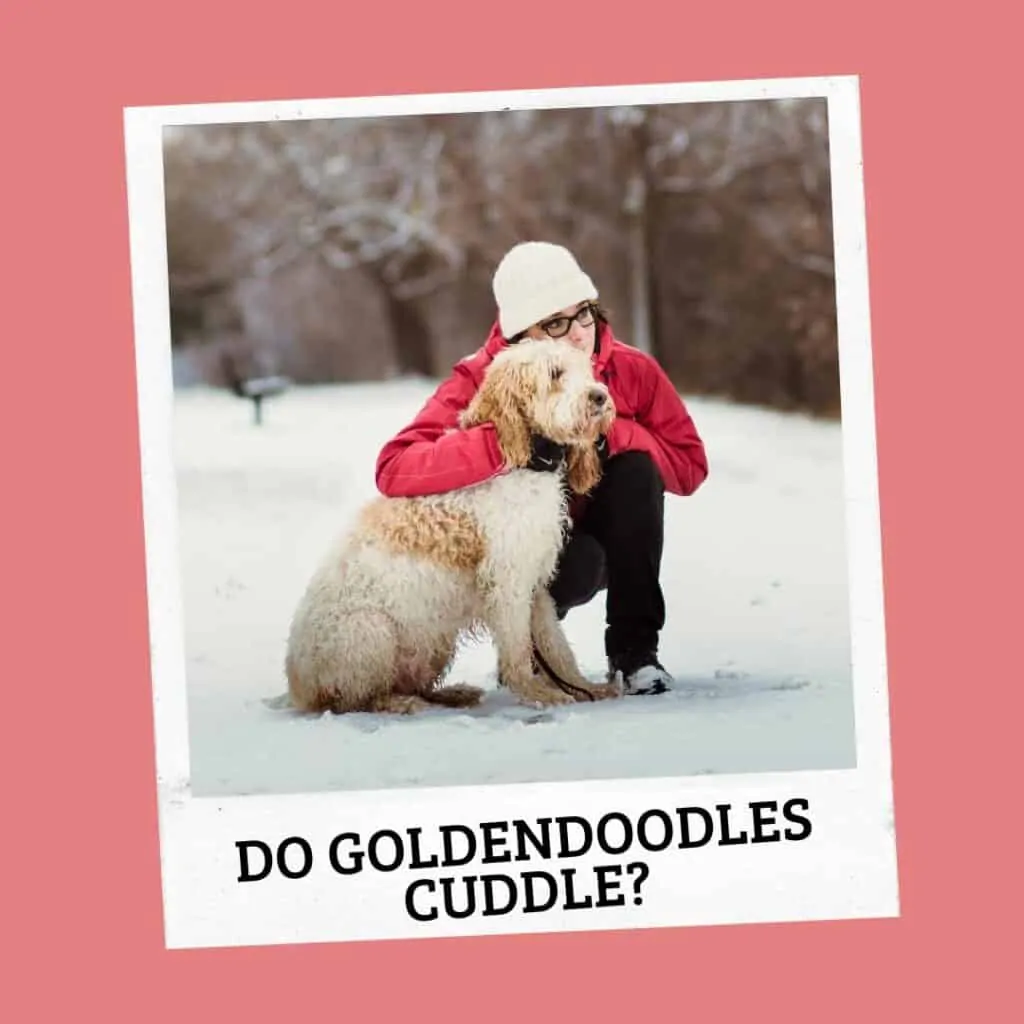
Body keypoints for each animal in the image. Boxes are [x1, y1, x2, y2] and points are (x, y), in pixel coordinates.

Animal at [286, 339, 622, 716]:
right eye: (554, 373)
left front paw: (582, 686)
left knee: (412, 684)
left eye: (585, 369)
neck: (523, 459)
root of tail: (299, 688)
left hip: (433, 641)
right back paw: (400, 702)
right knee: (358, 700)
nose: (599, 397)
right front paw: (539, 693)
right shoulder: (507, 581)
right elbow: (519, 648)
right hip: (371, 631)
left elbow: (554, 644)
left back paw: (452, 693)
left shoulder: (533, 582)